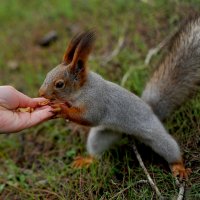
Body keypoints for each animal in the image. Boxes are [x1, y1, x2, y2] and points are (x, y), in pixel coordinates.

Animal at [38, 16, 200, 180]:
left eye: (59, 84)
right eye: (47, 74)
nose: (41, 93)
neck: (82, 90)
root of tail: (152, 110)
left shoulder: (96, 101)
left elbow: (89, 117)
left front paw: (61, 109)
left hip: (155, 133)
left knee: (169, 147)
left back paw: (179, 166)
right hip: (105, 134)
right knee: (97, 150)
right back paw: (87, 160)